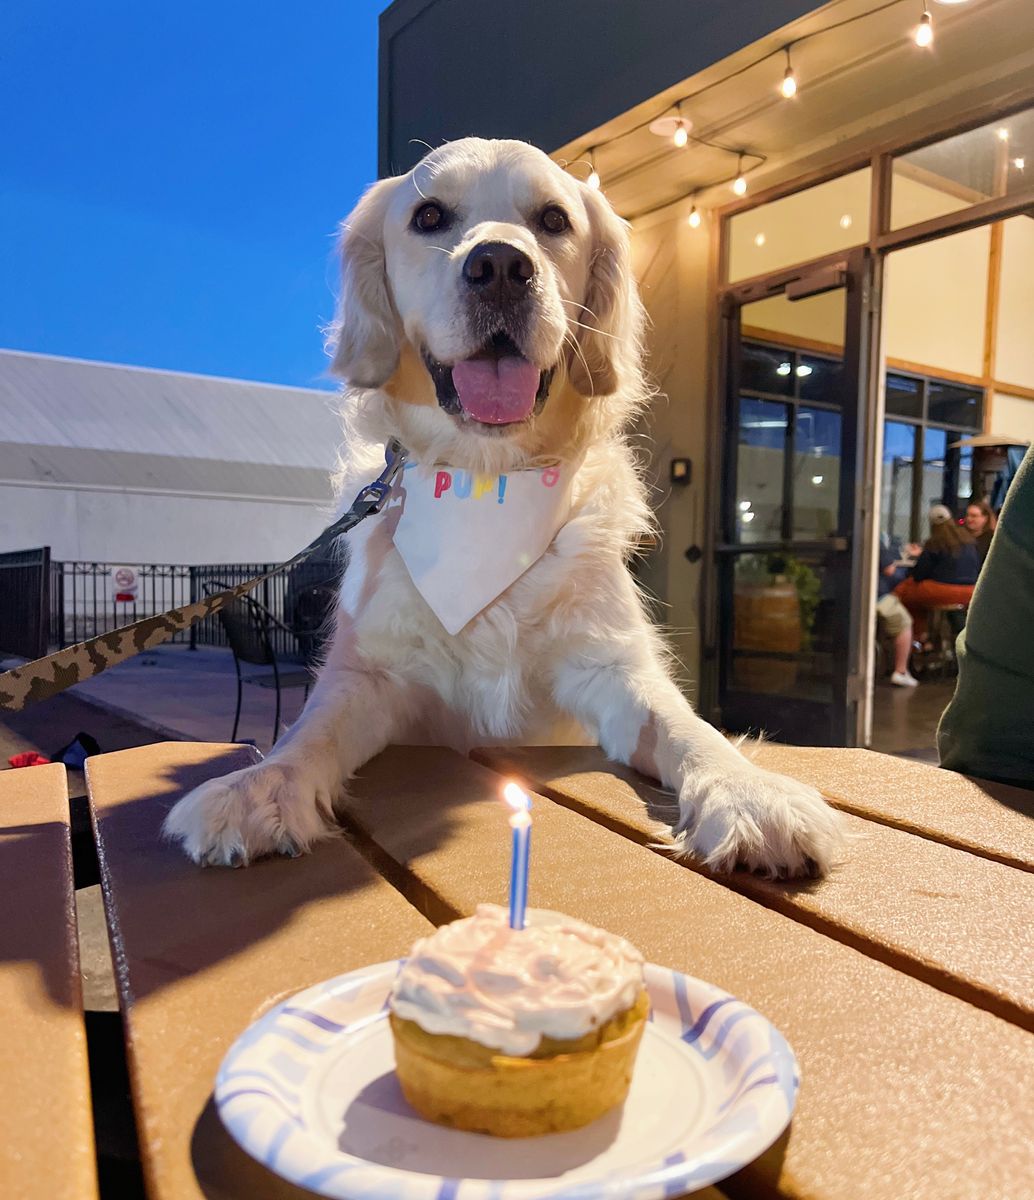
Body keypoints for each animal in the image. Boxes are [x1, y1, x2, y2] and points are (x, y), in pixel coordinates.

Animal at [159, 136, 844, 878]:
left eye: (553, 220)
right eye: (429, 216)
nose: (499, 268)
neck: (487, 487)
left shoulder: (612, 668)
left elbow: (688, 727)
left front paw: (749, 792)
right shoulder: (369, 673)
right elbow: (312, 732)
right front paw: (261, 785)